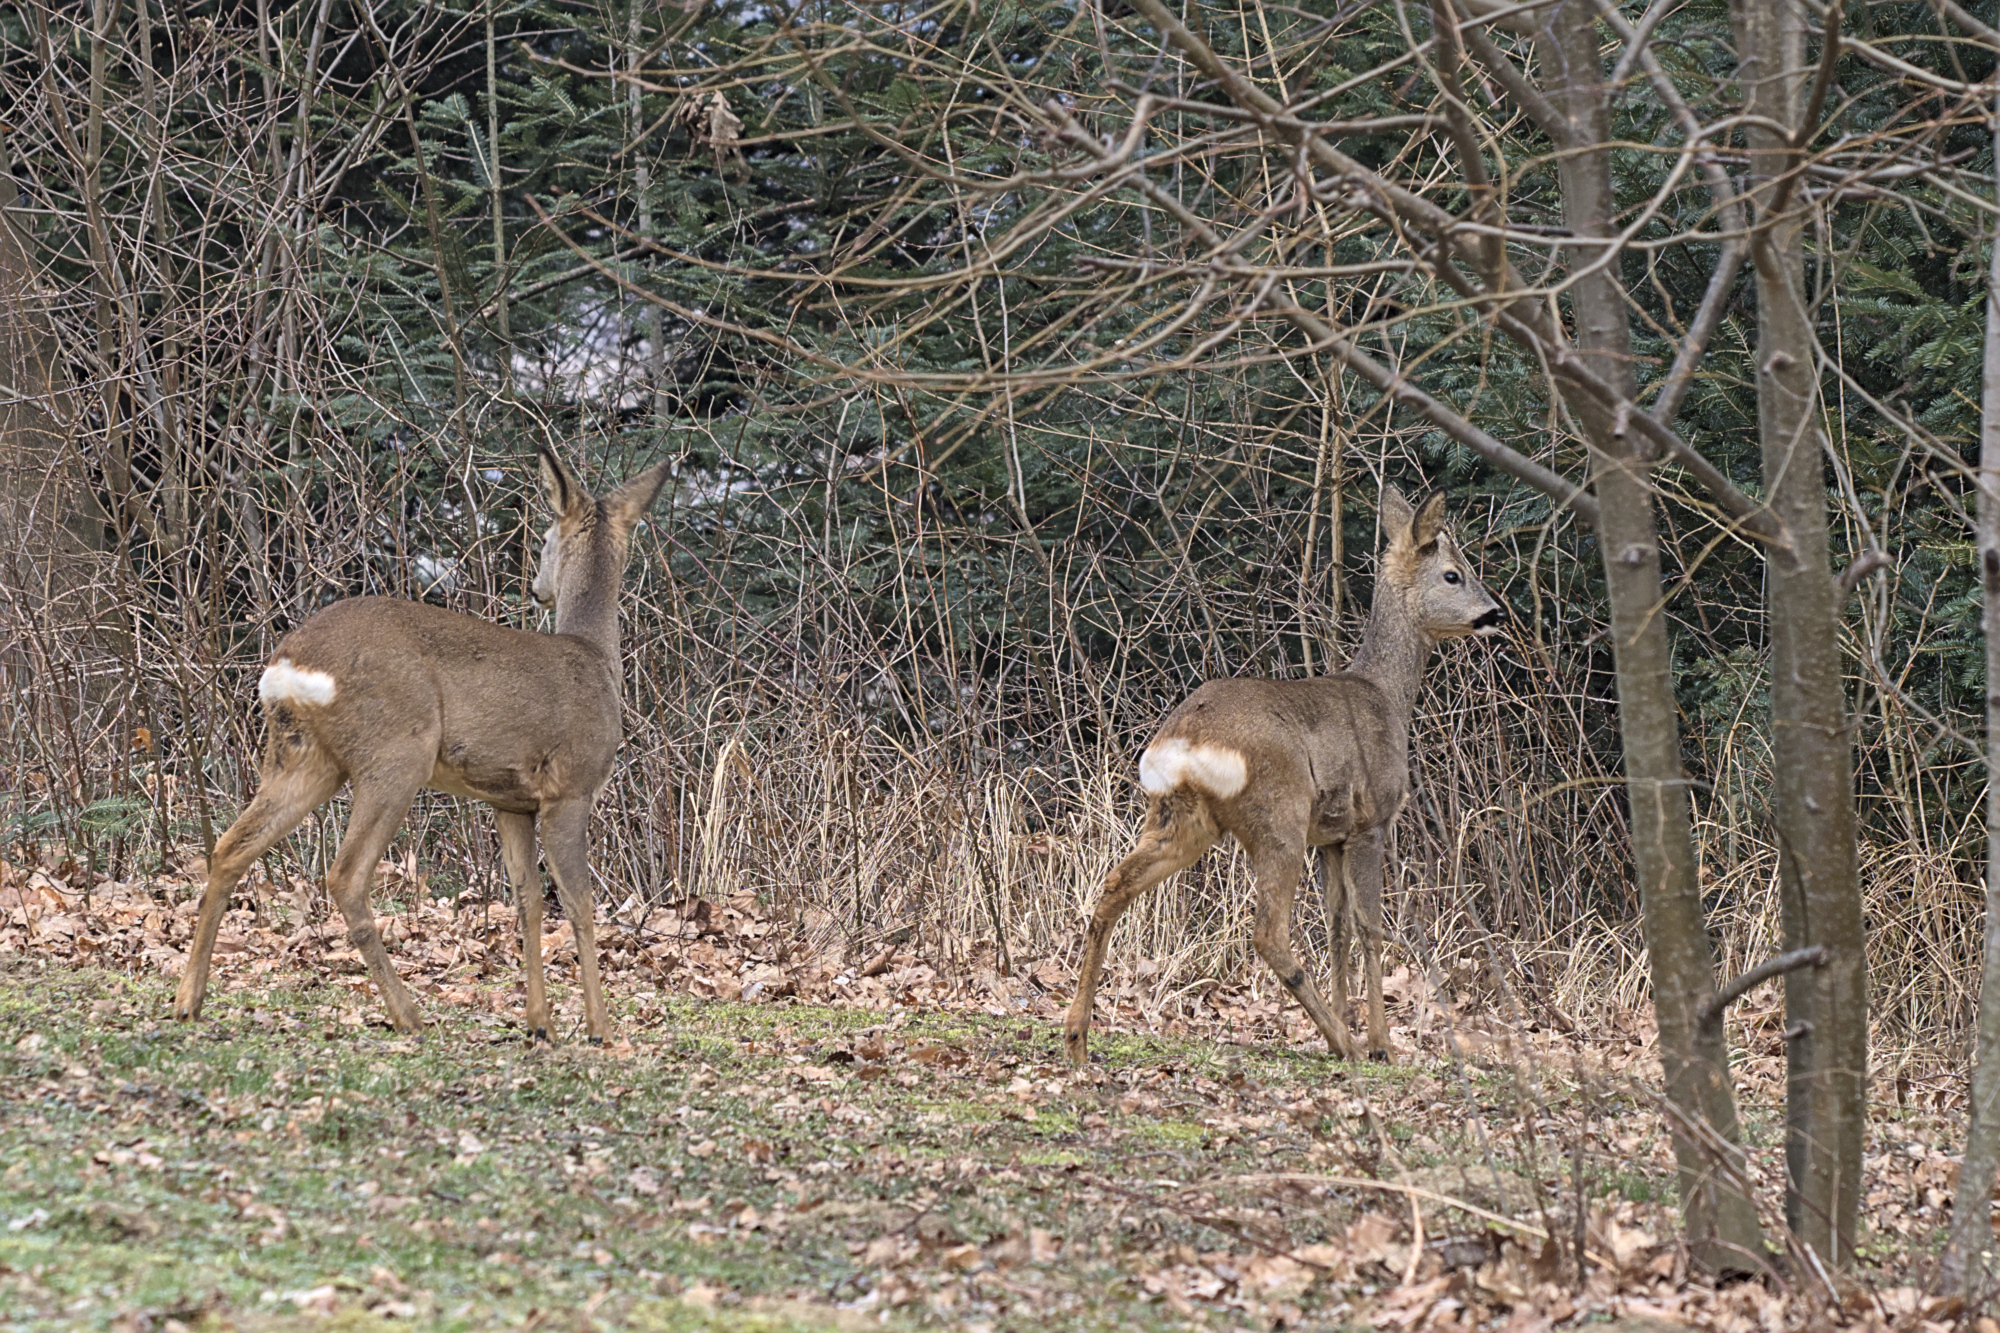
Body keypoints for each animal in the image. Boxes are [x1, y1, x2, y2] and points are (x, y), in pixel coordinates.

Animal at [174, 446, 672, 1040]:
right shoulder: (570, 787)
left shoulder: (510, 801)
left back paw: (188, 1000)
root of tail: (288, 664)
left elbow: (527, 901)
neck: (597, 661)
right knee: (345, 875)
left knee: (230, 848)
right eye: (546, 538)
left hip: (301, 756)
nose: (536, 588)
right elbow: (578, 902)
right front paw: (599, 1027)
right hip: (396, 751)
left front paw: (539, 1024)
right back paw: (408, 1014)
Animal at [1064, 482, 1504, 1064]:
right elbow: (1369, 927)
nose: (1496, 613)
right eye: (1454, 574)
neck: (1388, 696)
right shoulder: (1370, 821)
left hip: (1181, 819)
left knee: (1113, 886)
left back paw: (1076, 1035)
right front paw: (1381, 1043)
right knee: (1268, 932)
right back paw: (1346, 1044)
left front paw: (1352, 1021)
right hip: (1278, 815)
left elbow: (1338, 927)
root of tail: (1182, 739)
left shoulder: (1330, 836)